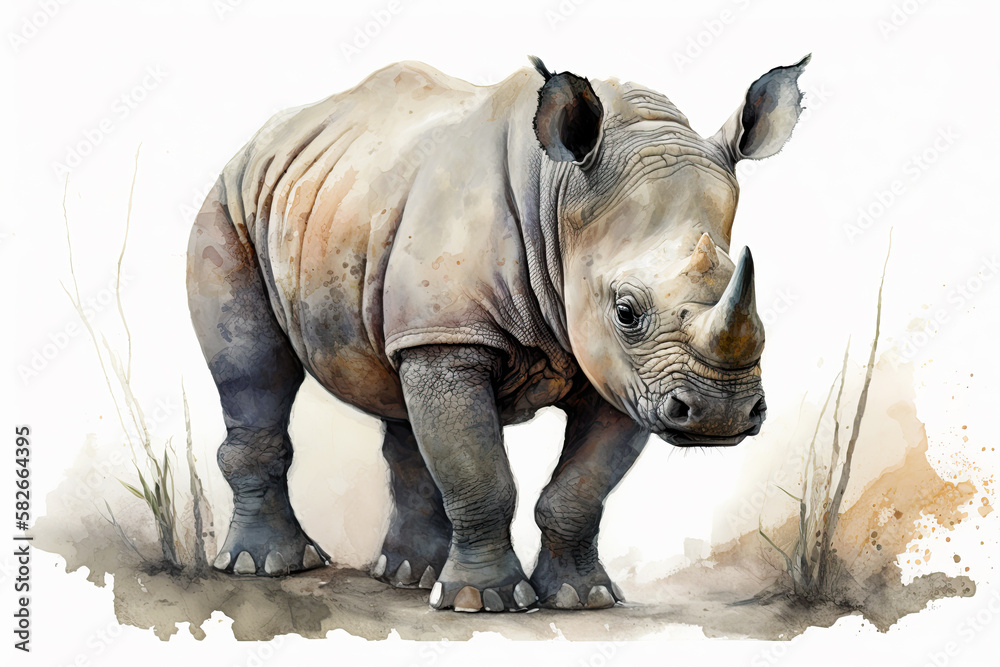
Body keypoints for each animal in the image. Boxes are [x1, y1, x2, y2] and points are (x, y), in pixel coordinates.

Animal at [186, 54, 809, 611]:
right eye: (627, 311)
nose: (720, 415)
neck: (558, 197)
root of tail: (262, 139)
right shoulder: (460, 334)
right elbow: (482, 474)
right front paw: (482, 602)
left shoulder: (625, 372)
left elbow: (581, 487)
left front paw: (582, 599)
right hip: (230, 204)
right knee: (255, 370)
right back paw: (268, 566)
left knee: (401, 393)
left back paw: (409, 577)